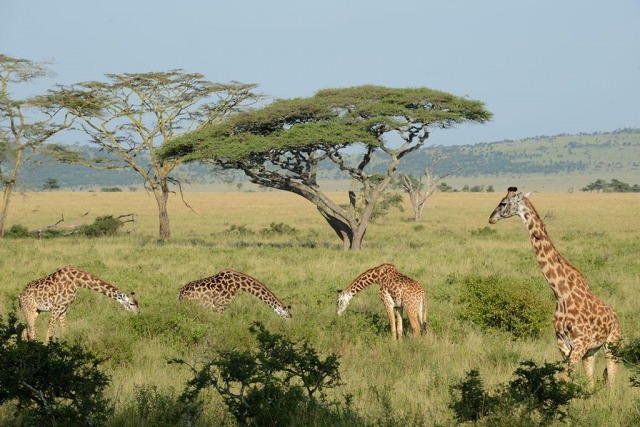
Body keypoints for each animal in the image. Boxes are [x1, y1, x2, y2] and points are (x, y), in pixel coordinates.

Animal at [489, 187, 621, 386]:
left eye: (503, 203)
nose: (491, 218)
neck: (560, 293)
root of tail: (616, 317)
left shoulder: (580, 343)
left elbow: (566, 378)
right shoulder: (564, 345)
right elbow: (566, 378)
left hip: (612, 342)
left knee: (612, 379)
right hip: (592, 351)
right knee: (591, 380)